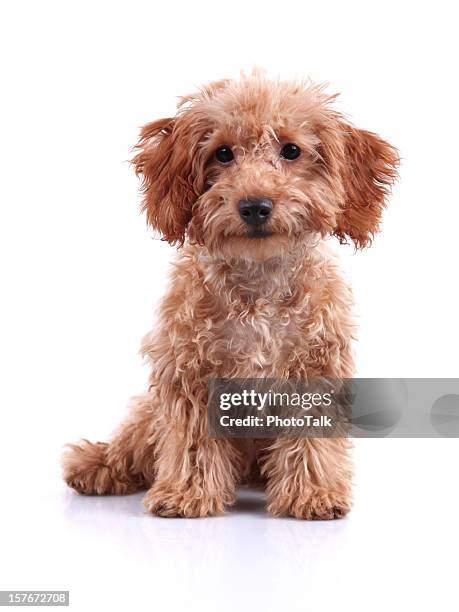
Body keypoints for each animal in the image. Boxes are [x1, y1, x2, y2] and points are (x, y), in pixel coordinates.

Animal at [62, 74, 398, 520]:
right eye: (222, 153)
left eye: (291, 150)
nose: (255, 206)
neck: (258, 281)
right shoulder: (189, 370)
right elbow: (193, 441)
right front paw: (186, 494)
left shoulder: (314, 368)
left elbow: (310, 439)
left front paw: (313, 494)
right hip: (148, 412)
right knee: (132, 443)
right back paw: (96, 464)